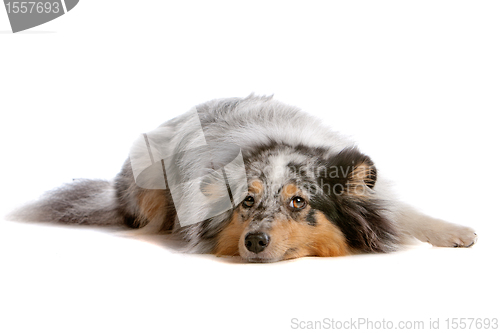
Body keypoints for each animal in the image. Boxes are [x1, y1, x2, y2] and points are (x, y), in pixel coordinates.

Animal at [7, 94, 476, 262]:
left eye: (299, 201)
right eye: (246, 202)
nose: (254, 242)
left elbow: (402, 213)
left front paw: (455, 232)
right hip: (148, 175)